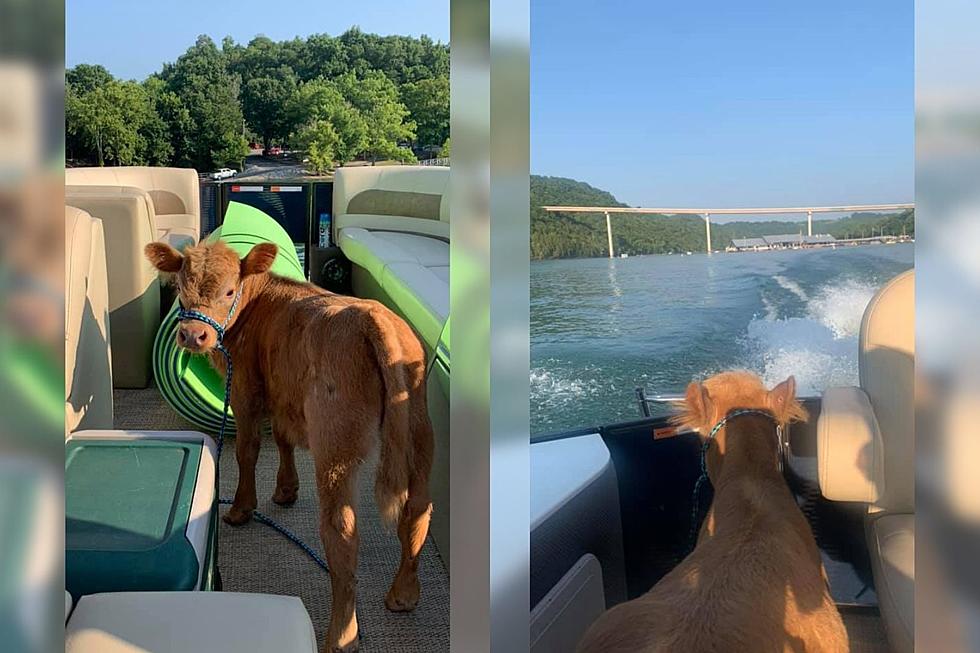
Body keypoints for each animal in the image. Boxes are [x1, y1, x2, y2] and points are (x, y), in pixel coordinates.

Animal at [145, 241, 432, 652]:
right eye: (181, 290)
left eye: (229, 292)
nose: (192, 336)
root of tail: (372, 317)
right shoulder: (282, 393)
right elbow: (282, 439)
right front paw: (285, 491)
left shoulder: (246, 390)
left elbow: (247, 449)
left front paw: (242, 509)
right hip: (420, 434)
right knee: (418, 510)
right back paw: (404, 594)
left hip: (334, 445)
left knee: (342, 532)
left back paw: (341, 636)